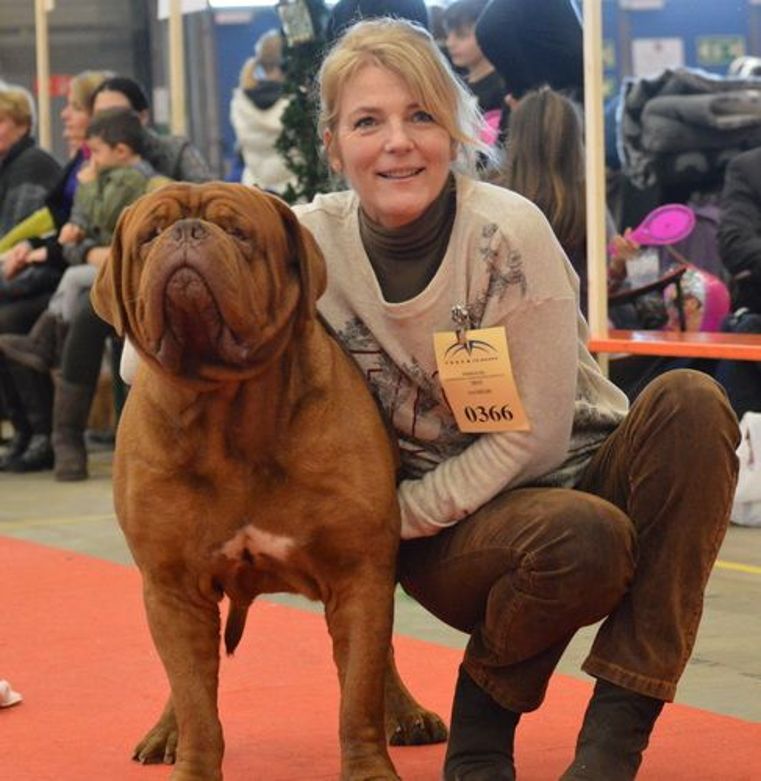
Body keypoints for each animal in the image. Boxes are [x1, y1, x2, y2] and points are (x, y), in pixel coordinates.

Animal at [90, 184, 446, 780]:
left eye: (238, 232)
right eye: (149, 235)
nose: (185, 232)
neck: (225, 411)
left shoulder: (360, 574)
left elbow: (358, 693)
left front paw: (369, 769)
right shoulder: (172, 586)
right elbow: (196, 701)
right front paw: (192, 764)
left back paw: (406, 713)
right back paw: (166, 733)